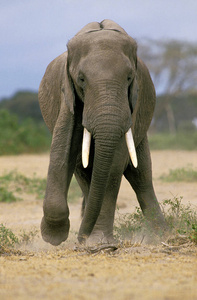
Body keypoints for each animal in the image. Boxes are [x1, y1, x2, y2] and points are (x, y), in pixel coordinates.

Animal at [38, 20, 168, 246]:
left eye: (129, 78)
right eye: (81, 79)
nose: (81, 238)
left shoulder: (133, 101)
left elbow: (115, 164)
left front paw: (99, 244)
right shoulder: (67, 95)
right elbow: (62, 149)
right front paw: (54, 236)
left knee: (141, 175)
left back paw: (163, 234)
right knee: (82, 171)